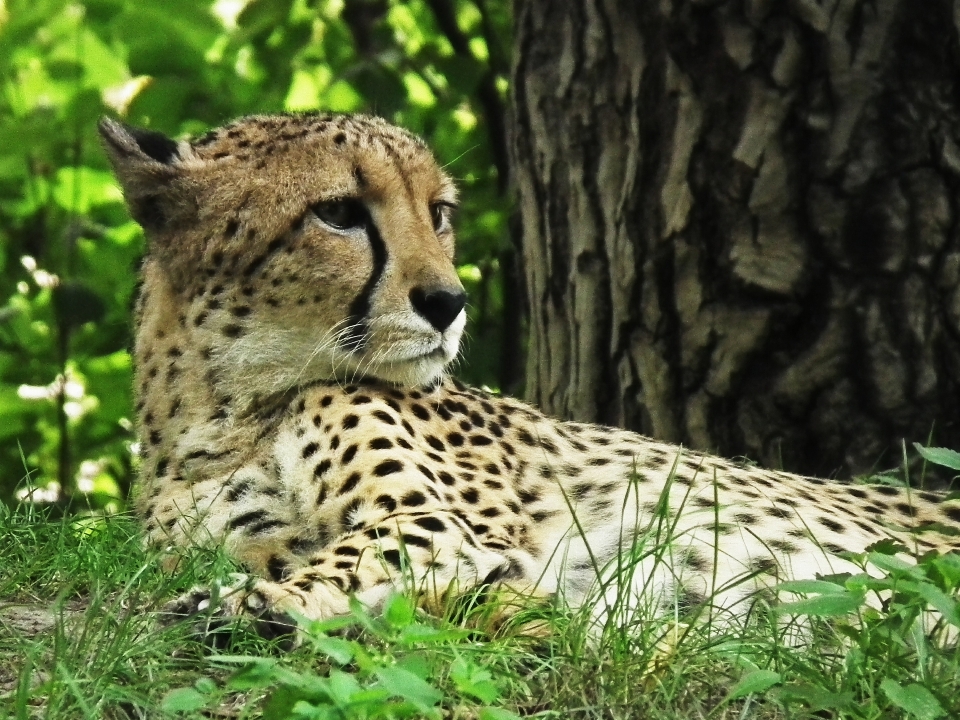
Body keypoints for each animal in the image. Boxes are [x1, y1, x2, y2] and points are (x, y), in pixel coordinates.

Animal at [99, 111, 960, 636]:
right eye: (338, 213)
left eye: (439, 213)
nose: (449, 302)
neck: (226, 410)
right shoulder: (236, 534)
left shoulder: (435, 528)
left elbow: (348, 560)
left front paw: (255, 604)